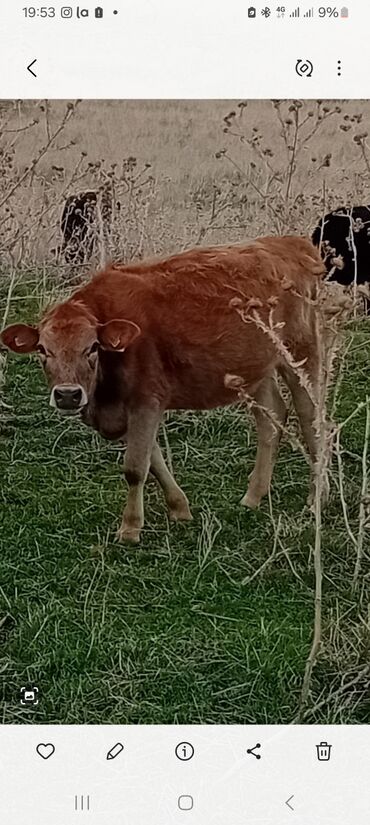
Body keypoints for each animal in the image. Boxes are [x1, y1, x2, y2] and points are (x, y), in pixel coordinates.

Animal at [0, 233, 324, 540]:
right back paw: (253, 496)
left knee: (311, 416)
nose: (67, 395)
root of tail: (292, 244)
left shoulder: (146, 400)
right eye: (43, 349)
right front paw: (179, 508)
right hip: (255, 368)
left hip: (301, 352)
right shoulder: (131, 409)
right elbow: (153, 460)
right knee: (271, 416)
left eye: (91, 347)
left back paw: (316, 498)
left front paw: (130, 529)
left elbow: (135, 467)